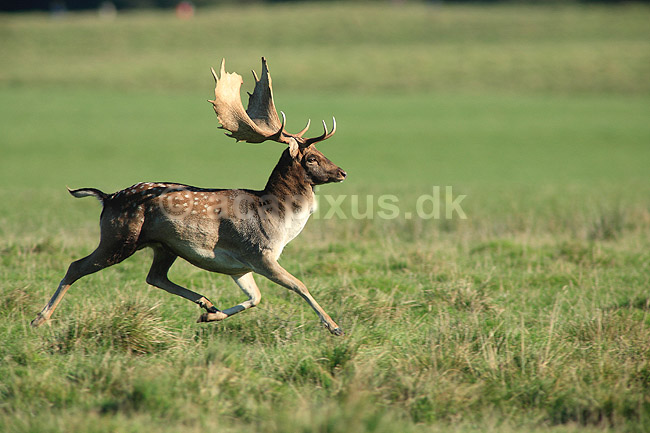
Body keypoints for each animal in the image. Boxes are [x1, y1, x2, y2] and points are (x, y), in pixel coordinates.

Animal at [30, 57, 347, 336]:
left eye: (320, 153)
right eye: (312, 158)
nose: (342, 172)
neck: (279, 221)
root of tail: (106, 198)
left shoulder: (240, 266)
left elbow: (255, 297)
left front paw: (210, 316)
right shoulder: (259, 253)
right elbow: (299, 285)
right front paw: (334, 327)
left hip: (163, 246)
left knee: (155, 276)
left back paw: (207, 303)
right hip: (118, 238)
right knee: (76, 266)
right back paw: (40, 319)